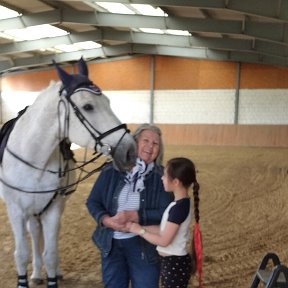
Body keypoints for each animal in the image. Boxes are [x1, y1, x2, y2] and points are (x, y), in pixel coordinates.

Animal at [0, 58, 136, 288]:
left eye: (108, 101)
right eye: (88, 106)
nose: (129, 150)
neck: (34, 159)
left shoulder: (53, 209)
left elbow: (51, 254)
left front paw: (52, 274)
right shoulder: (16, 211)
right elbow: (21, 255)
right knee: (34, 234)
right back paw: (36, 274)